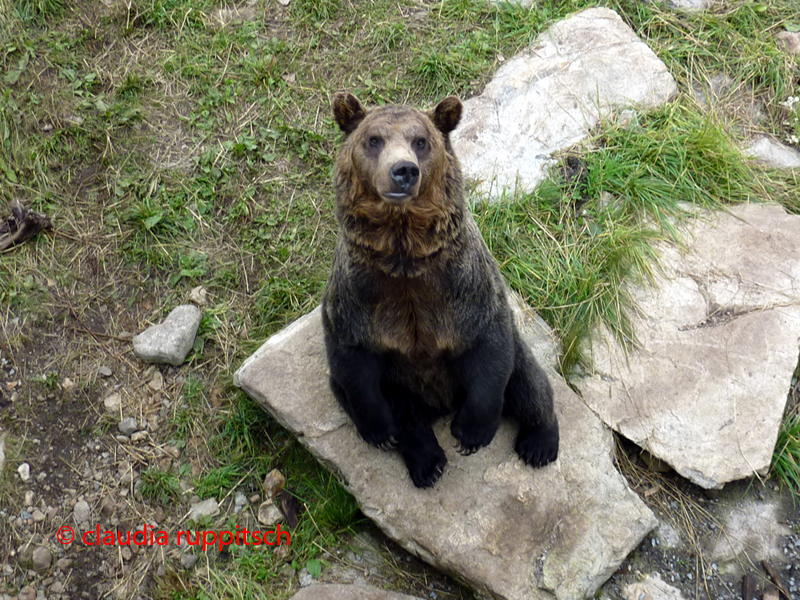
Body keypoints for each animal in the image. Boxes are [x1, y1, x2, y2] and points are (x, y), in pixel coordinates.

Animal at [322, 92, 560, 488]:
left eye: (420, 141)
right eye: (374, 139)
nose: (403, 170)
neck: (405, 256)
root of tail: (441, 405)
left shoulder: (464, 285)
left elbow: (489, 348)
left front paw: (471, 435)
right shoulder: (359, 293)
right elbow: (352, 361)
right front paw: (380, 431)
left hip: (514, 350)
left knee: (527, 382)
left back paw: (539, 444)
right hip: (400, 384)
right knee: (396, 409)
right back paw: (426, 462)